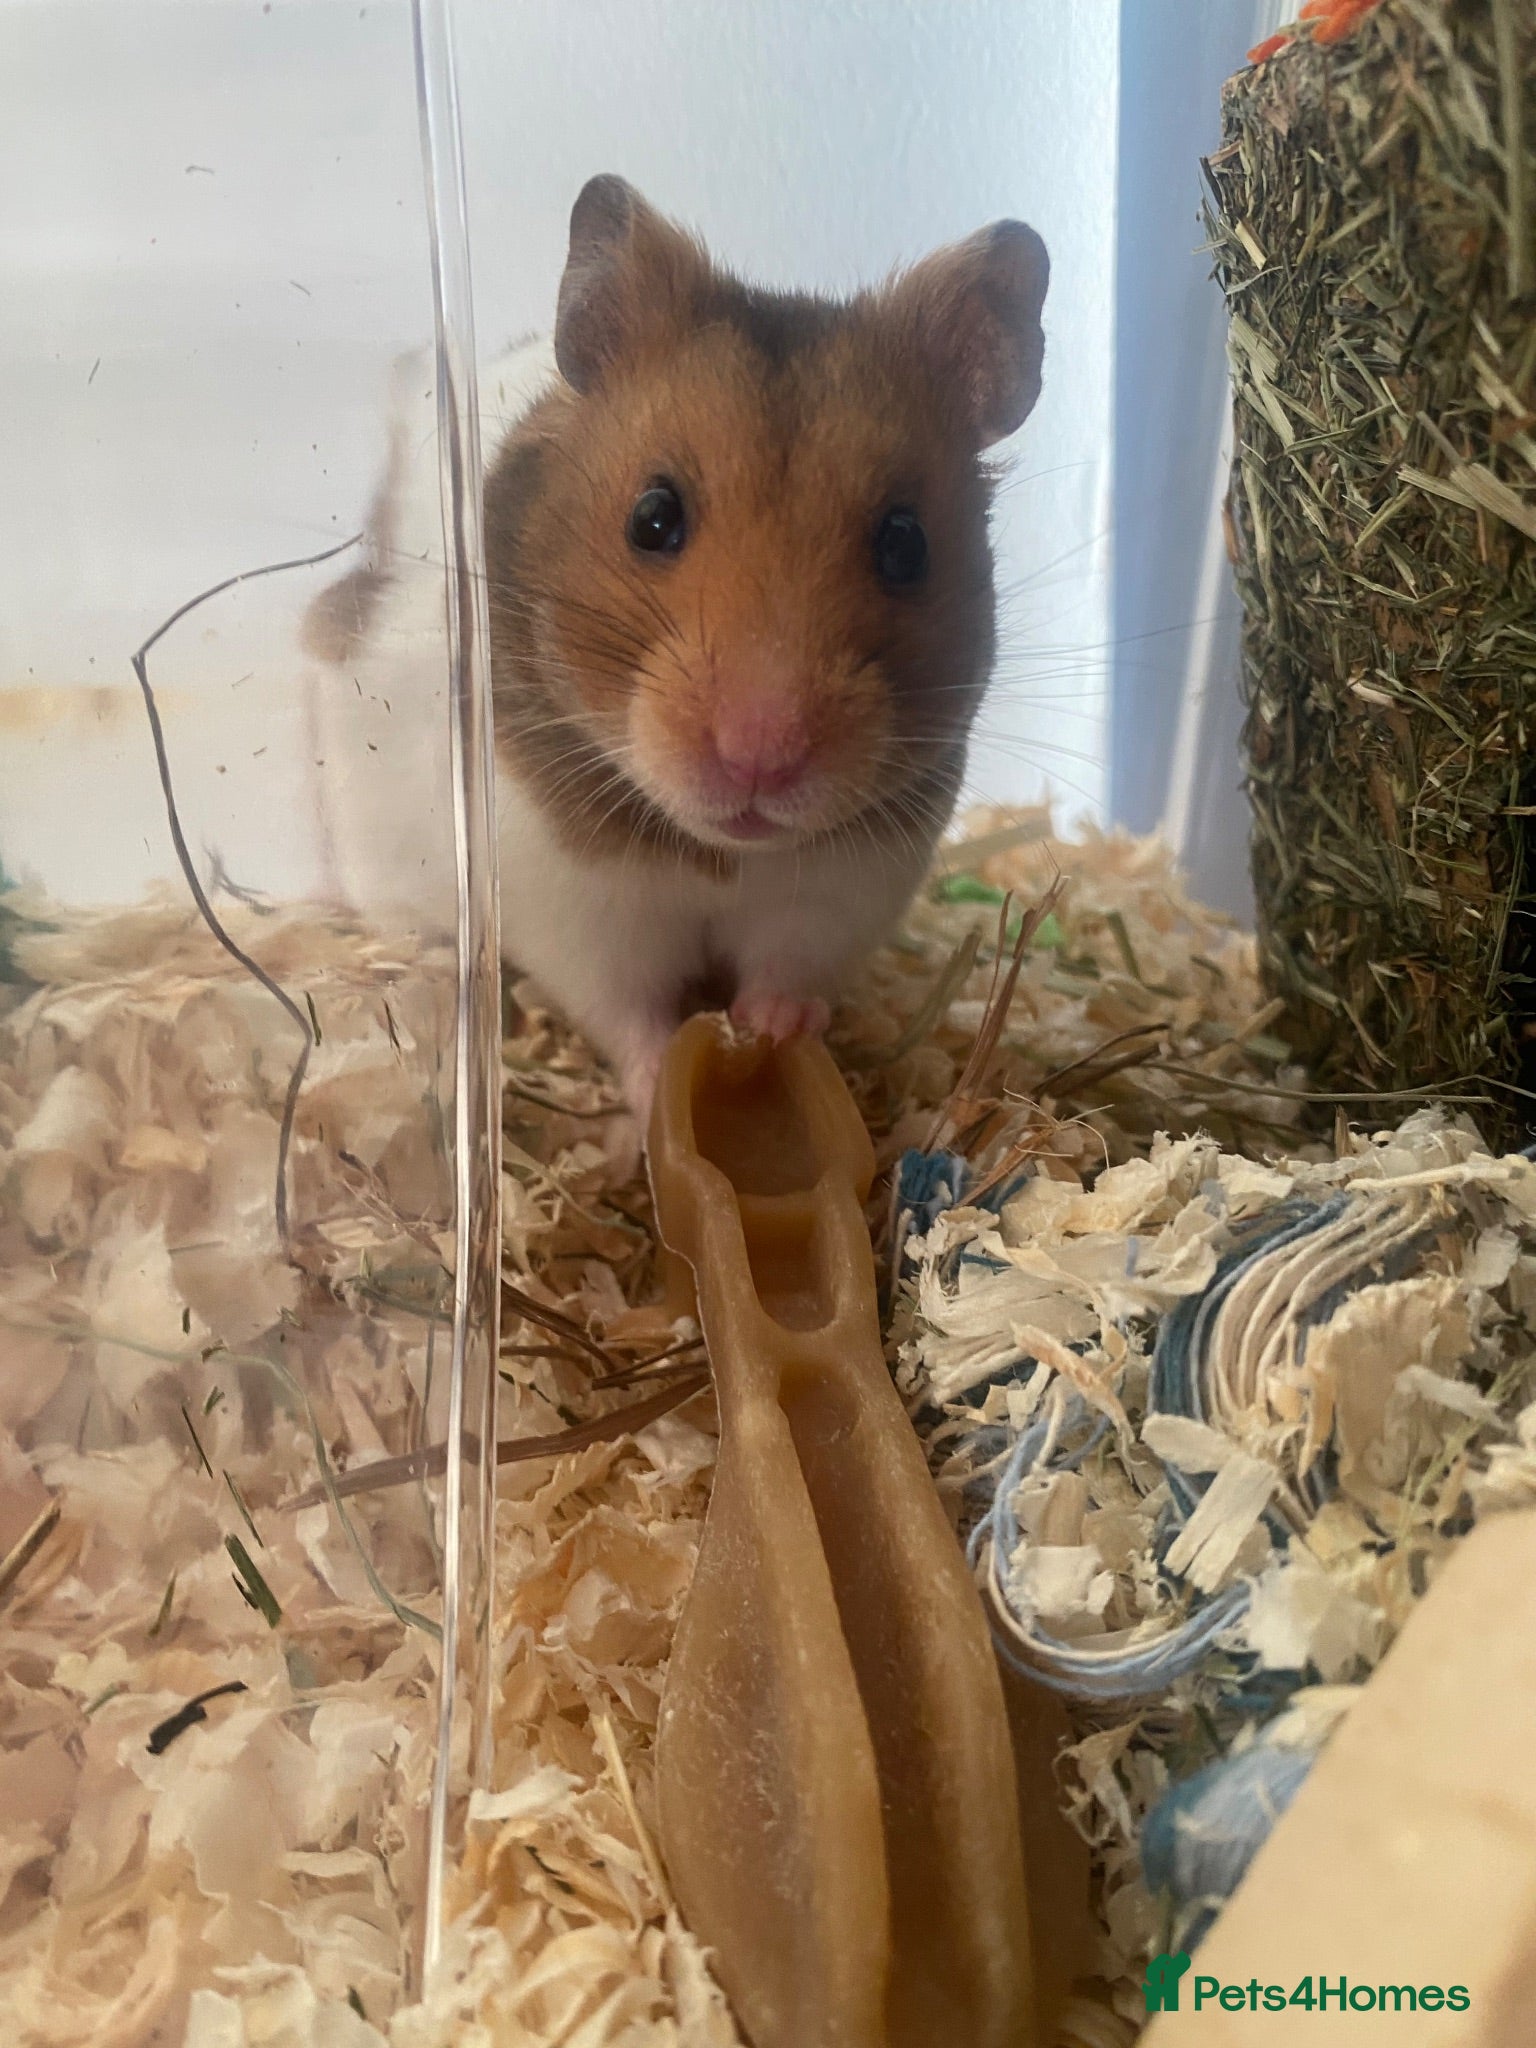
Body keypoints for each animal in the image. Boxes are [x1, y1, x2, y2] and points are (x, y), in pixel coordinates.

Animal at [309, 175, 1048, 1132]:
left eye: (905, 544)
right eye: (652, 518)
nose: (759, 759)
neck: (724, 856)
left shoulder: (843, 893)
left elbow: (788, 973)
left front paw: (772, 1031)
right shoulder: (576, 908)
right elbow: (627, 1012)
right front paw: (664, 1079)